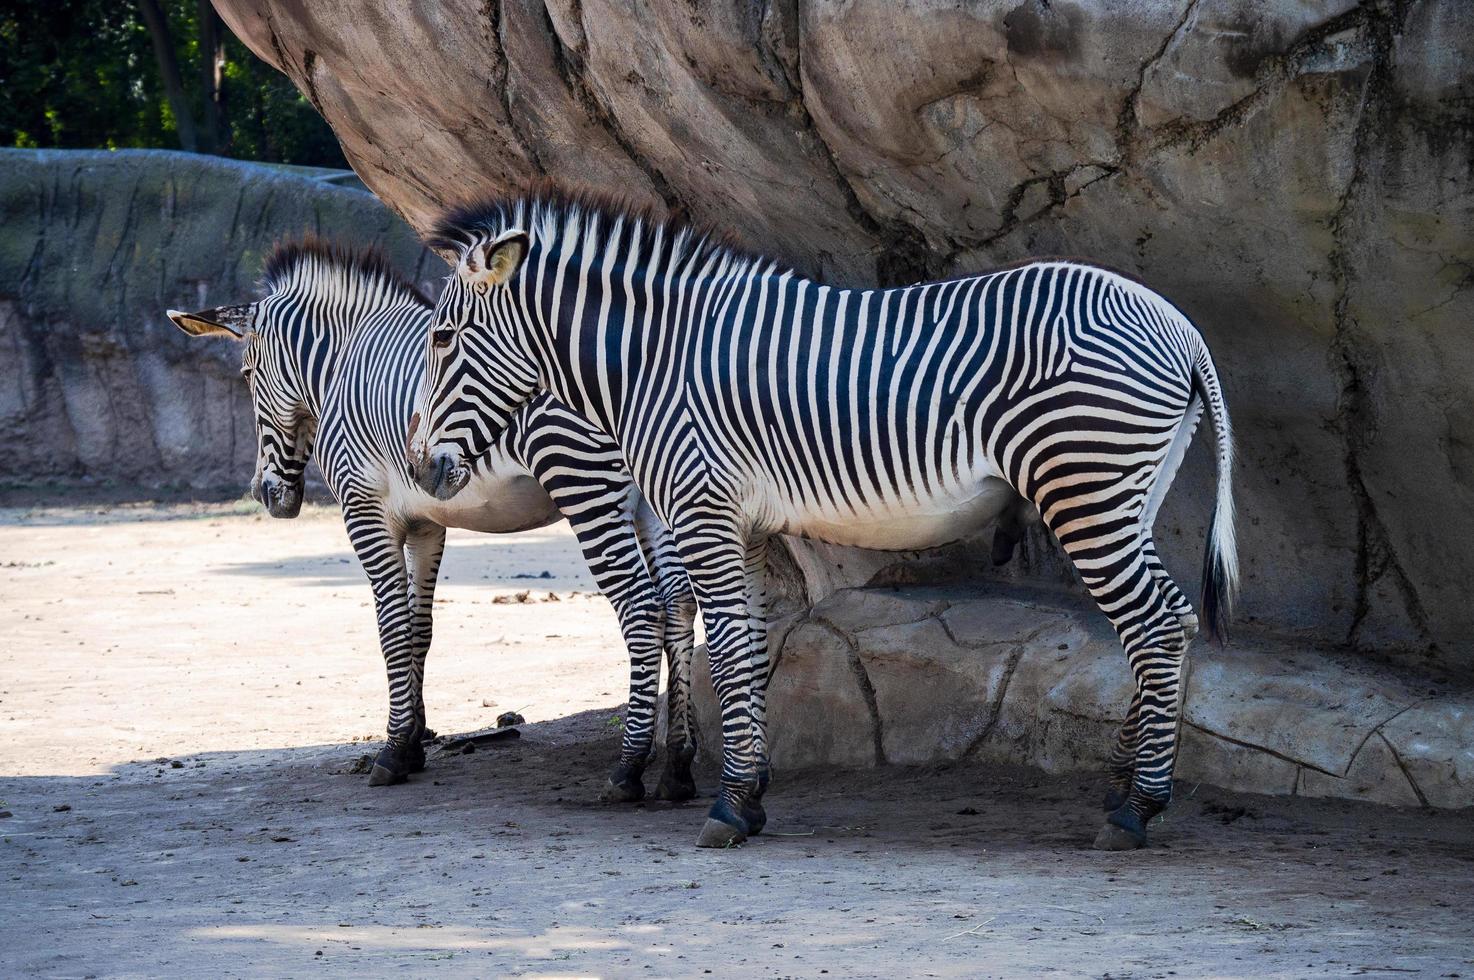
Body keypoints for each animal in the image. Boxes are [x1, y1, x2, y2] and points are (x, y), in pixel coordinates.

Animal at [164, 238, 704, 801]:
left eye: (247, 376)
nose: (266, 495)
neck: (343, 361)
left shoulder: (364, 510)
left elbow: (391, 627)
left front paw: (392, 751)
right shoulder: (426, 523)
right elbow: (419, 627)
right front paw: (415, 741)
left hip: (584, 485)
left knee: (642, 609)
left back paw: (628, 766)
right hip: (654, 496)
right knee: (678, 603)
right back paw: (678, 763)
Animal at [409, 187, 1238, 854]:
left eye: (443, 338)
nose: (421, 470)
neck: (653, 362)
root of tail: (1181, 326)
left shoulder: (704, 510)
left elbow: (730, 648)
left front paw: (728, 805)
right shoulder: (738, 524)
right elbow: (747, 650)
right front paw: (750, 796)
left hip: (1086, 485)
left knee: (1156, 625)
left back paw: (1136, 809)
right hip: (1129, 493)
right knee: (1165, 624)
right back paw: (1124, 786)